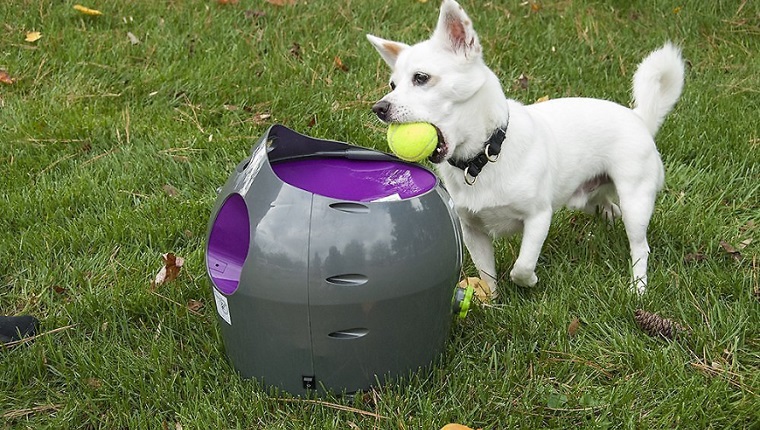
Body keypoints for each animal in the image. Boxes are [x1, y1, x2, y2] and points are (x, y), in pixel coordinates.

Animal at [366, 0, 684, 298]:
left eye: (421, 78)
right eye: (392, 85)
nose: (379, 108)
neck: (483, 157)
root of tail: (639, 117)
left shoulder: (538, 218)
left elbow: (521, 266)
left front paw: (529, 281)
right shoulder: (473, 231)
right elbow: (487, 275)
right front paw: (492, 303)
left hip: (635, 200)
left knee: (640, 247)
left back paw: (638, 287)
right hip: (585, 198)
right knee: (607, 207)